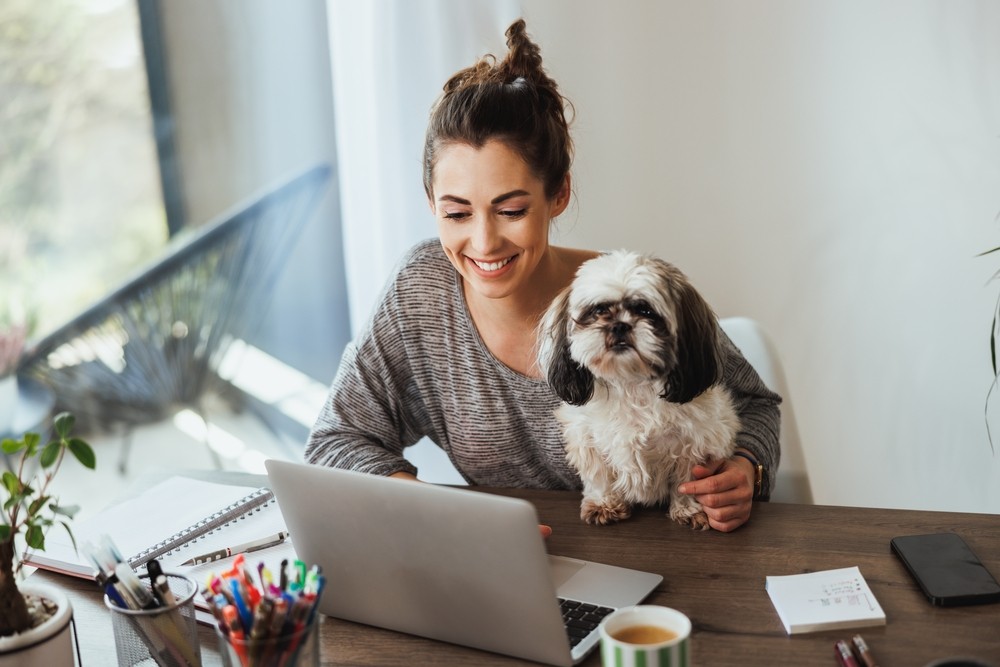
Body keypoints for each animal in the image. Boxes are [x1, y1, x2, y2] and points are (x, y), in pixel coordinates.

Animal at [540, 250, 744, 532]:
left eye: (646, 311)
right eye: (599, 310)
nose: (619, 325)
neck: (631, 382)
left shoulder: (695, 443)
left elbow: (686, 481)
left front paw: (689, 509)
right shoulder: (587, 439)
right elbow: (599, 475)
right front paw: (604, 503)